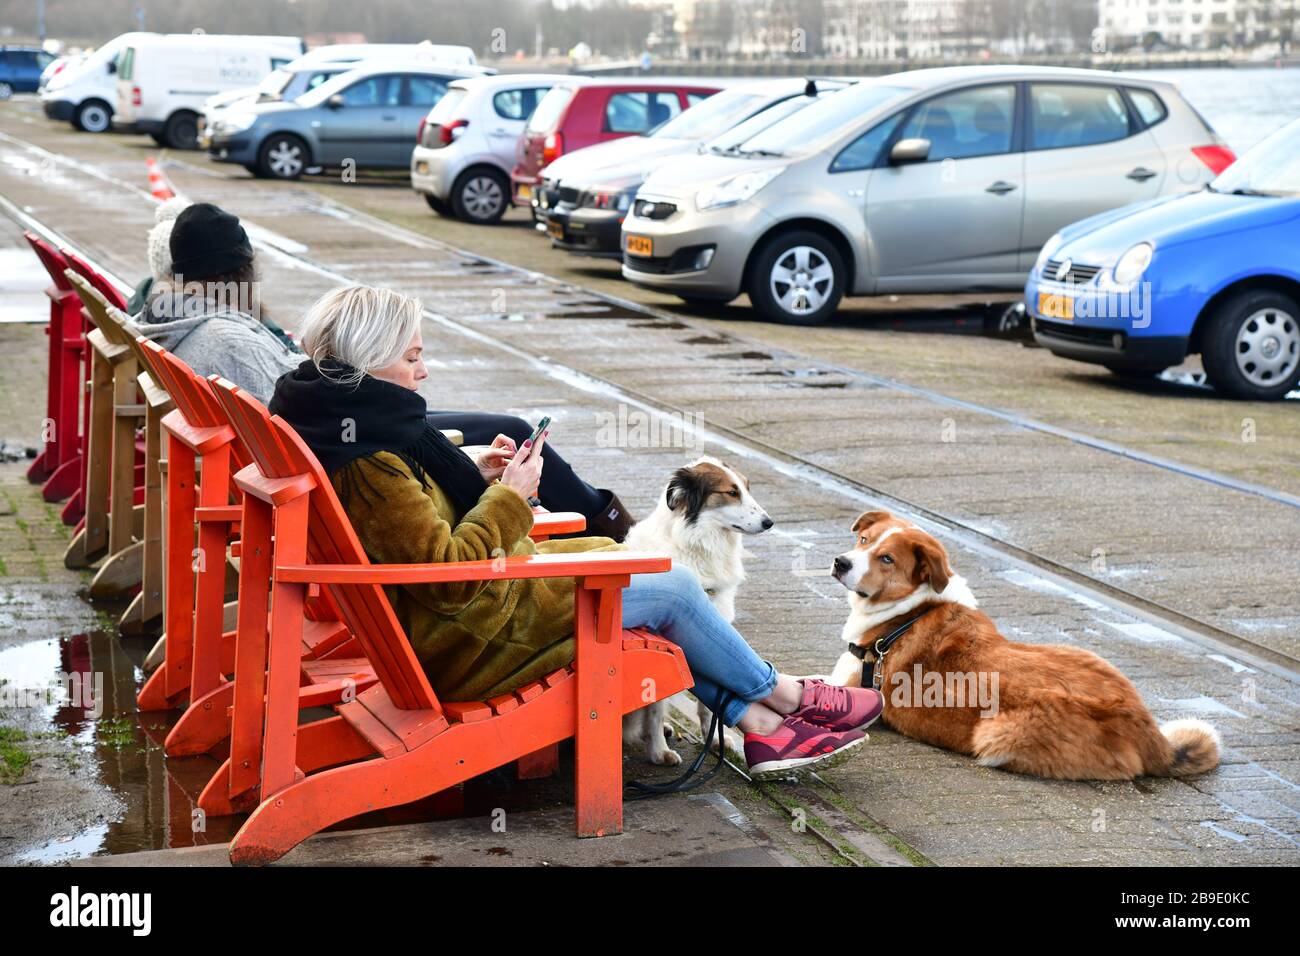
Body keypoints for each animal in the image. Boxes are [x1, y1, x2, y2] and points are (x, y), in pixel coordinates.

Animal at [621, 460, 769, 764]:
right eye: (731, 492)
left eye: (748, 488)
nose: (769, 522)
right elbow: (655, 705)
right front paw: (659, 752)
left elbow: (708, 706)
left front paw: (715, 741)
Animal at [826, 512, 1222, 780]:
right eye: (864, 539)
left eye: (887, 558)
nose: (840, 562)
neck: (910, 610)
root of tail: (1149, 732)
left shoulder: (851, 685)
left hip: (993, 736)